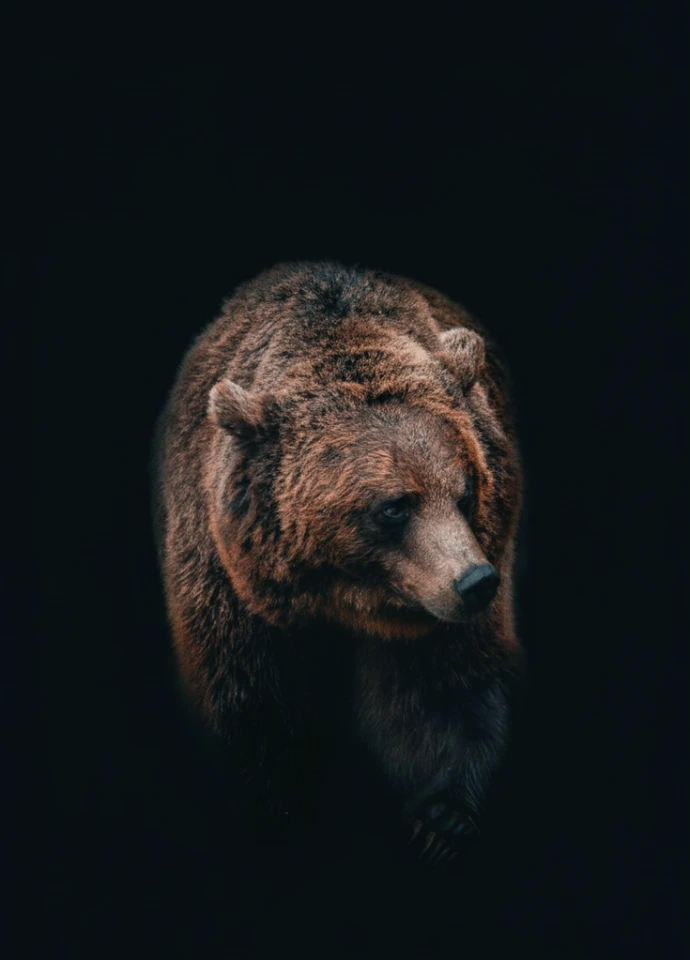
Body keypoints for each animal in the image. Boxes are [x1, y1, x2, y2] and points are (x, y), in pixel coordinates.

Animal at [153, 261, 523, 864]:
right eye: (395, 506)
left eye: (466, 492)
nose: (476, 583)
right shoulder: (225, 583)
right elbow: (248, 703)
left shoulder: (449, 588)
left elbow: (444, 686)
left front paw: (441, 819)